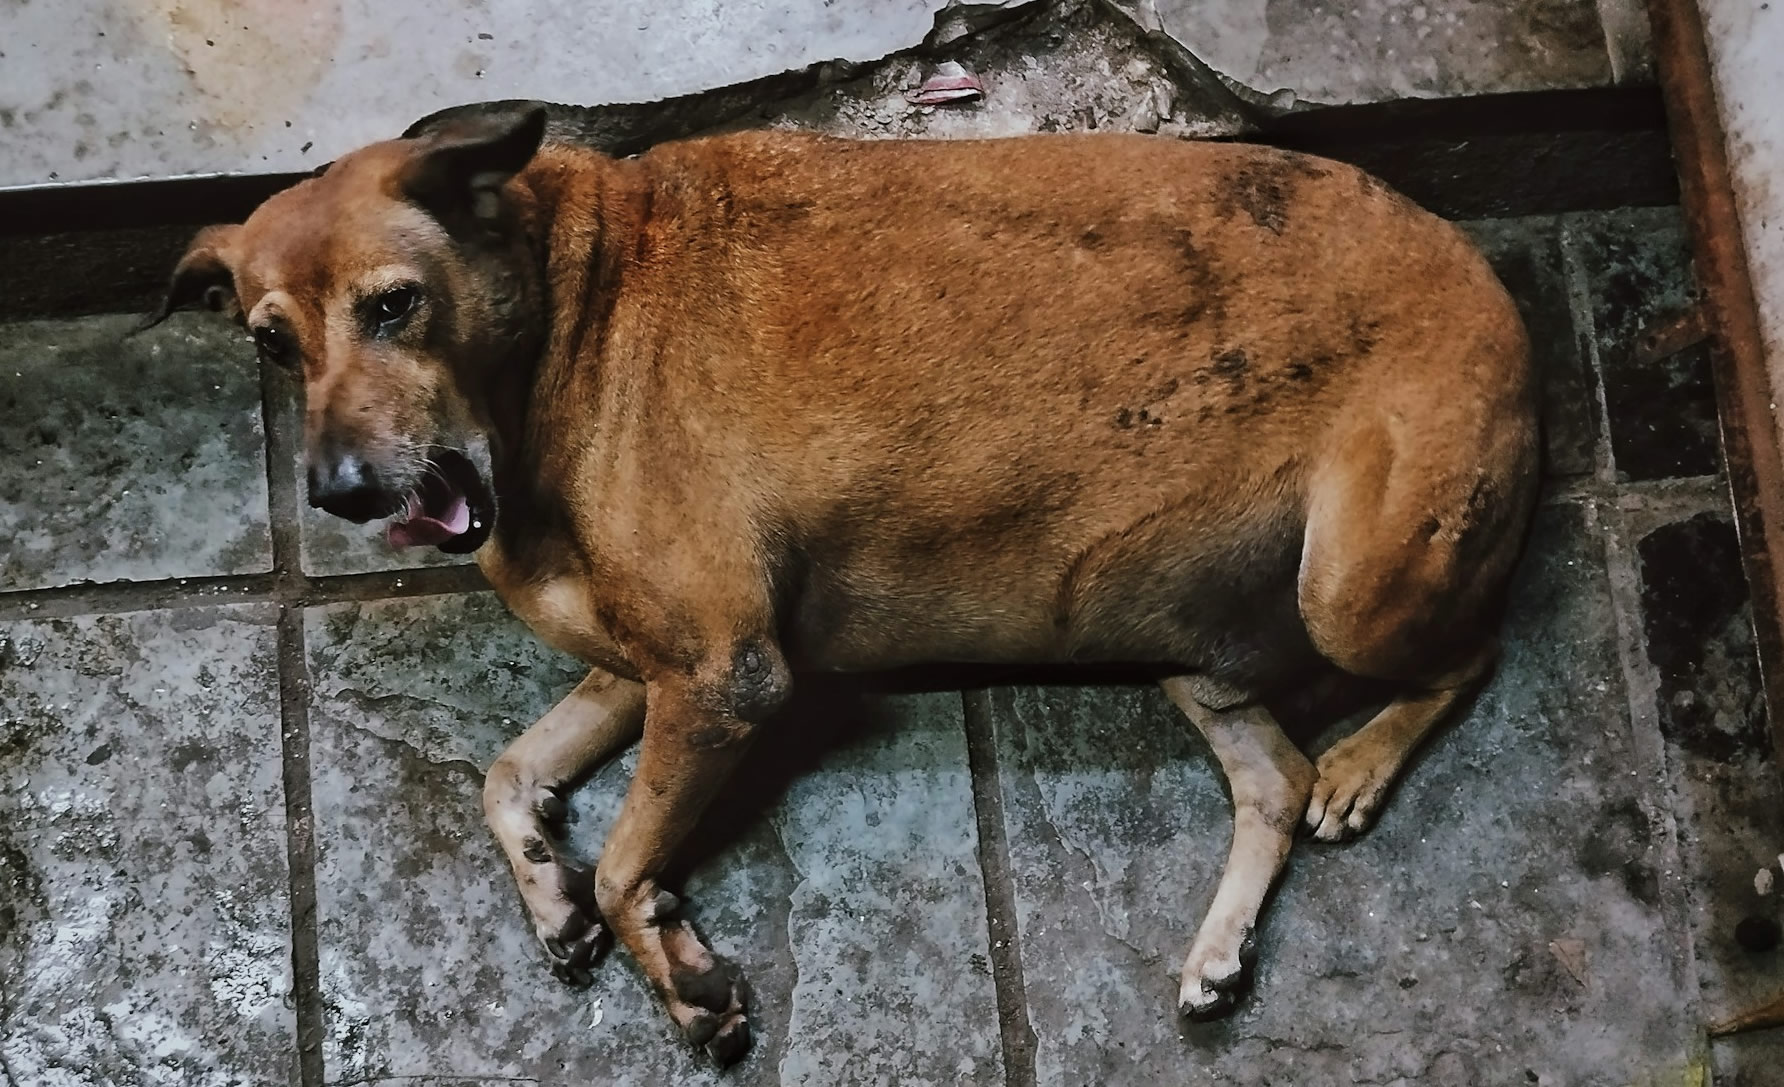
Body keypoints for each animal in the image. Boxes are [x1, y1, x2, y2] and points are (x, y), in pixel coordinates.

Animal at [153, 106, 1541, 1063]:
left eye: (394, 306)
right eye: (270, 343)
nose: (335, 491)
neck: (563, 316)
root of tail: (1484, 277)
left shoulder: (724, 676)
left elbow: (622, 852)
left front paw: (676, 971)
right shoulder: (648, 670)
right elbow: (507, 777)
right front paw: (564, 898)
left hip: (1352, 585)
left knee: (1467, 656)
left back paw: (1362, 764)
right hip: (1183, 642)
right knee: (1270, 780)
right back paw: (1218, 949)